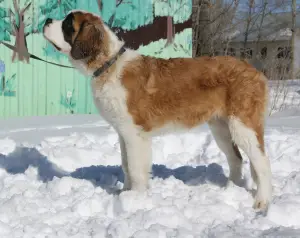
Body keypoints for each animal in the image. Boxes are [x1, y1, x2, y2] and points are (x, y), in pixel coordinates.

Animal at [42, 10, 272, 213]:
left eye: (67, 24)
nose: (47, 20)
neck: (109, 65)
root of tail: (254, 70)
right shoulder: (123, 132)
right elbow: (126, 165)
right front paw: (125, 194)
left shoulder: (135, 134)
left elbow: (135, 168)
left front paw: (135, 199)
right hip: (221, 128)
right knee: (236, 158)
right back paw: (230, 189)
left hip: (243, 126)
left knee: (261, 162)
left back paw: (261, 201)